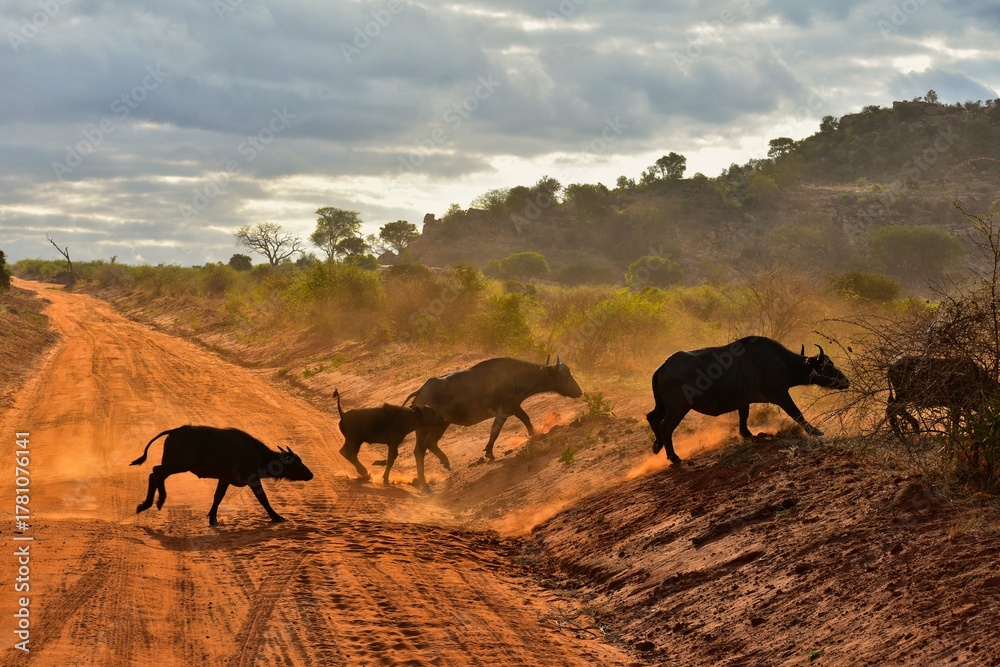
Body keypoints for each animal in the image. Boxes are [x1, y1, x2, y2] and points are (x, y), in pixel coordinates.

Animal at [131, 425, 313, 525]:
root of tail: (176, 431)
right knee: (156, 472)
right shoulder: (252, 479)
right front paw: (277, 517)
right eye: (298, 463)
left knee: (155, 474)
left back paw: (148, 504)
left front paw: (212, 518)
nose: (310, 474)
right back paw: (156, 502)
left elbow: (218, 497)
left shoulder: (224, 479)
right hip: (177, 465)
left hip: (173, 465)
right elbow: (263, 499)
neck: (258, 454)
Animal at [402, 356, 583, 488]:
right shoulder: (504, 412)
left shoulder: (515, 407)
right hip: (440, 424)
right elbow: (495, 431)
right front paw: (489, 452)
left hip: (422, 429)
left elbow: (526, 419)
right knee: (429, 443)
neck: (518, 376)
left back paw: (422, 480)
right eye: (566, 376)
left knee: (419, 450)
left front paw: (533, 434)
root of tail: (421, 391)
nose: (579, 392)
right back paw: (444, 462)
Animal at [646, 336, 849, 463]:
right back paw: (674, 457)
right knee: (665, 426)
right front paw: (815, 431)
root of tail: (664, 366)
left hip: (663, 406)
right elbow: (797, 413)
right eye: (827, 366)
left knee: (652, 417)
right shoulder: (781, 395)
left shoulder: (744, 400)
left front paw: (747, 434)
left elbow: (743, 416)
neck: (781, 361)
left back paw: (657, 445)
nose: (845, 381)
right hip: (678, 407)